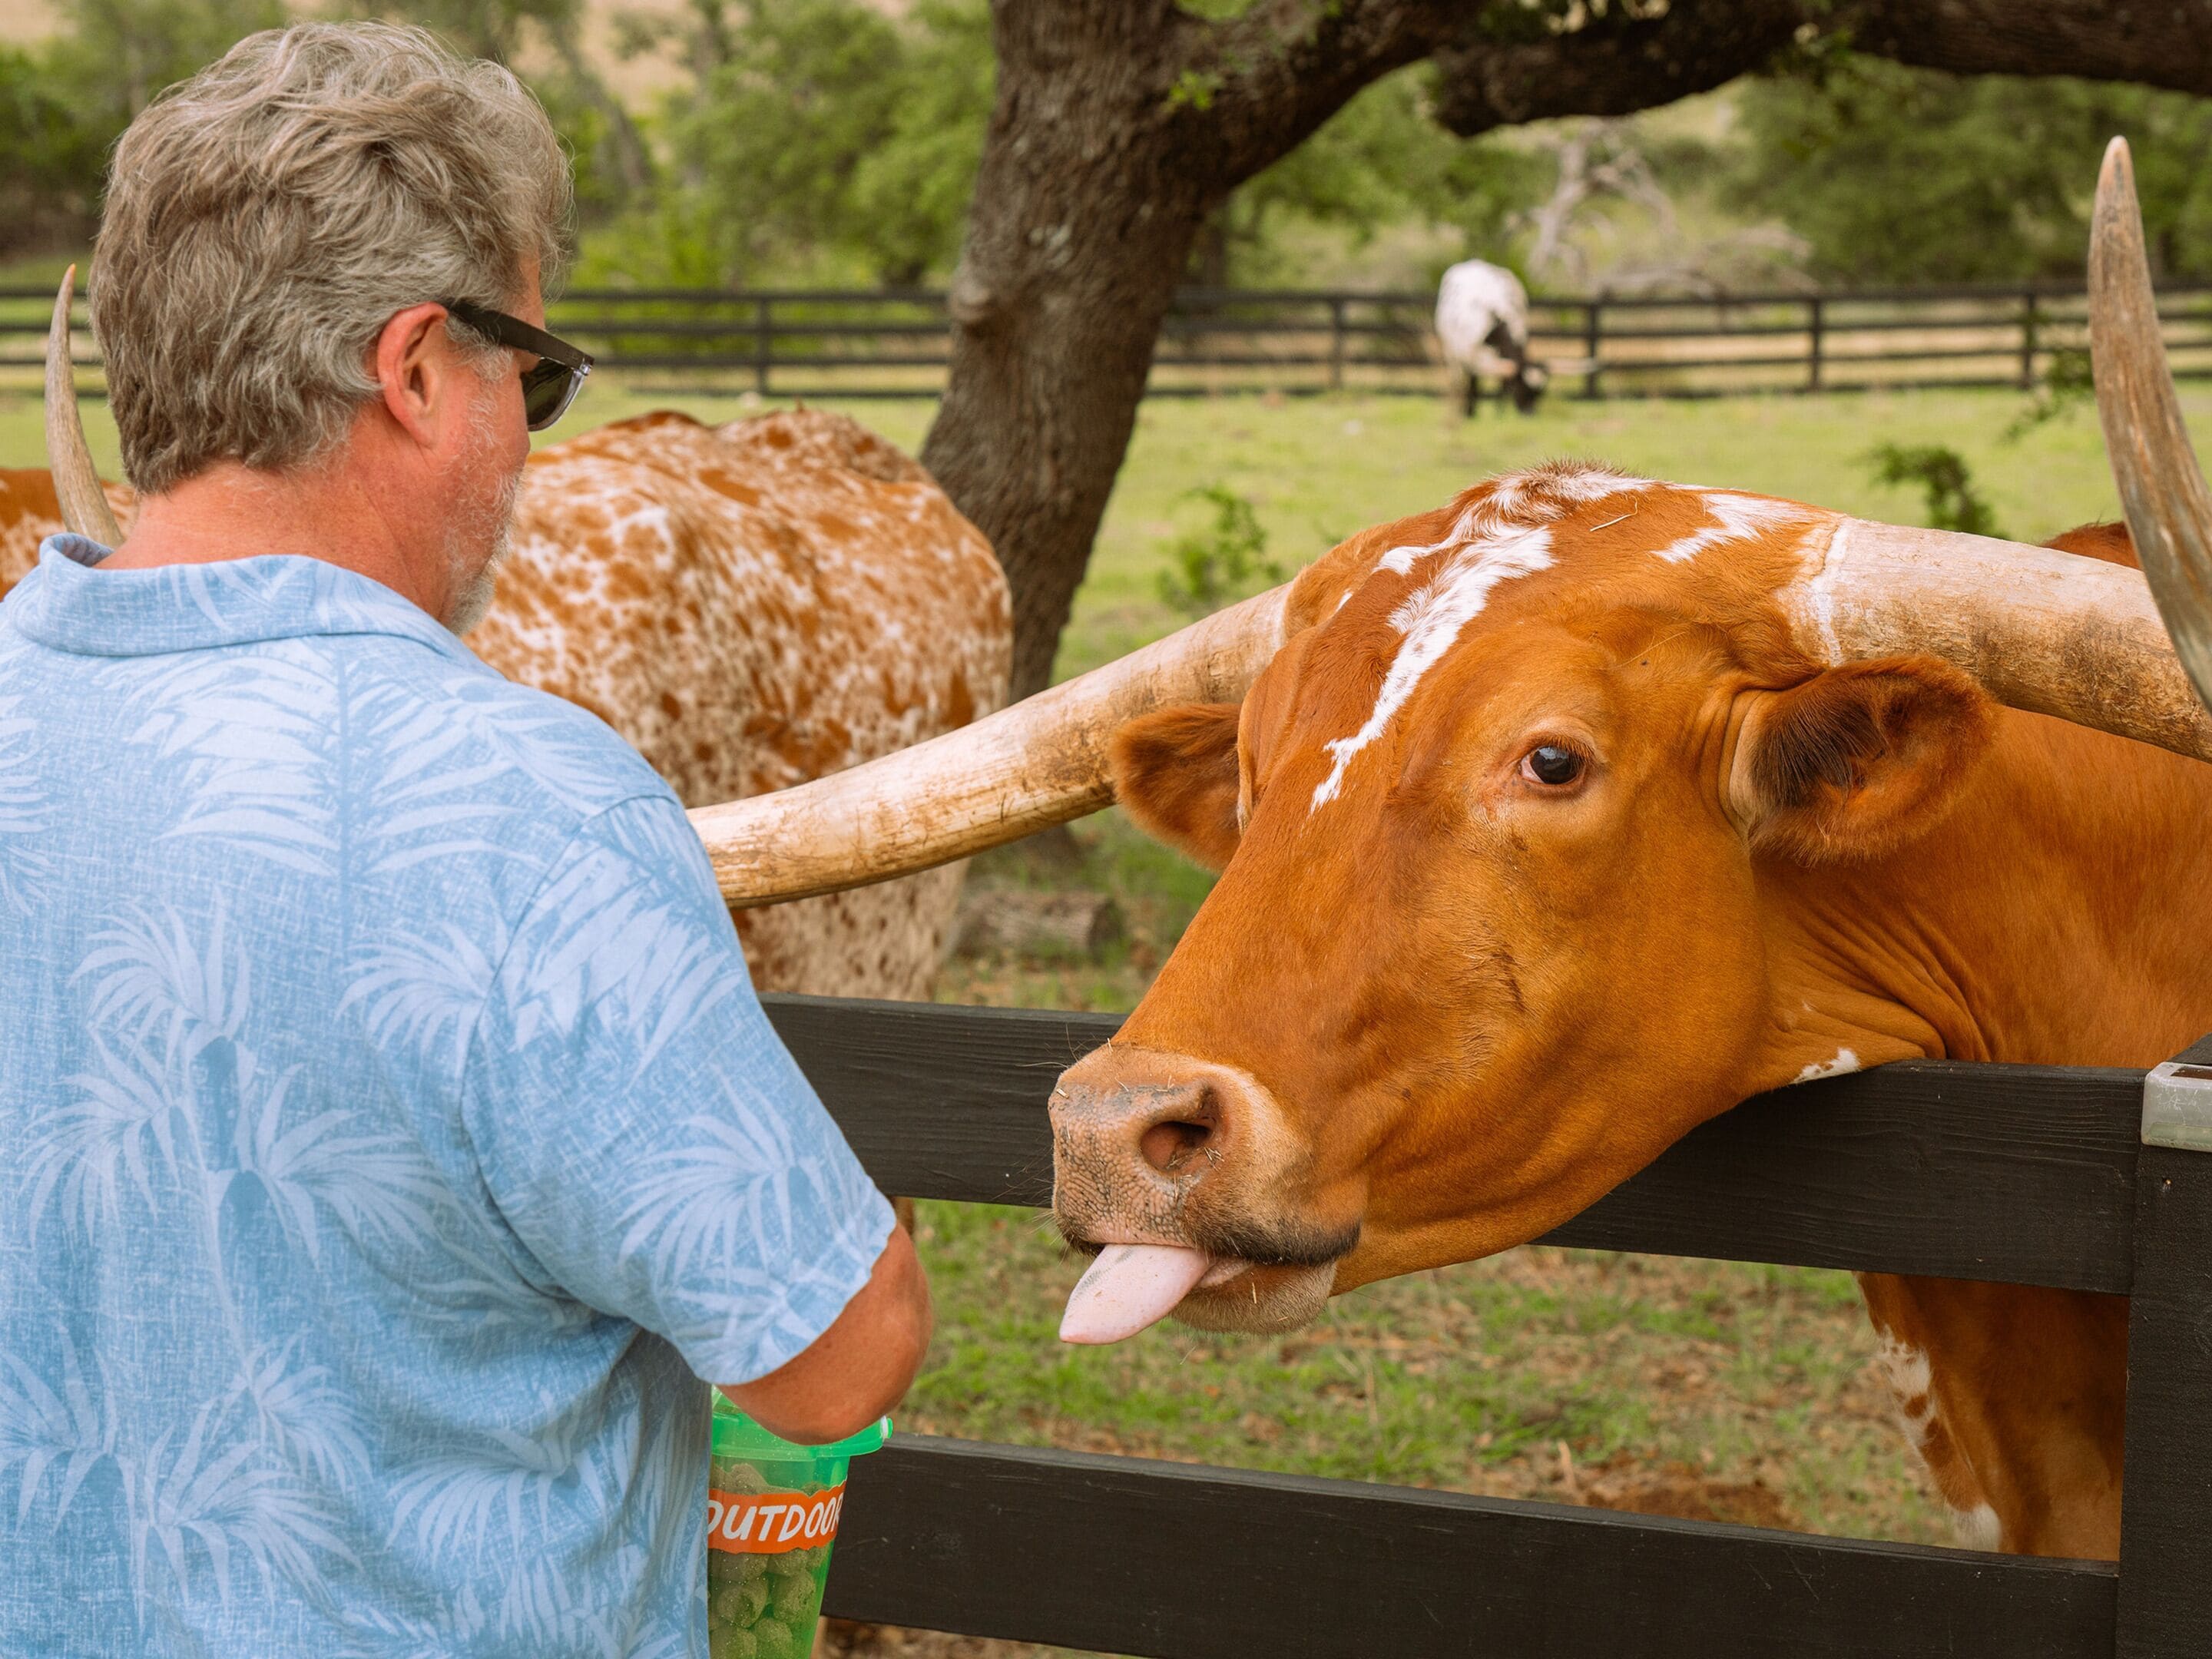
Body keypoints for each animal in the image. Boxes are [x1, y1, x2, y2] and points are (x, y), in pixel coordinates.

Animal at [1435, 260, 1548, 417]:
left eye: (1538, 394)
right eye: (1524, 389)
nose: (1530, 414)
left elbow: (1502, 382)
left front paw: (1499, 413)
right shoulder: (1471, 353)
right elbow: (1473, 382)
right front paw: (1470, 412)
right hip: (1452, 352)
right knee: (1461, 380)